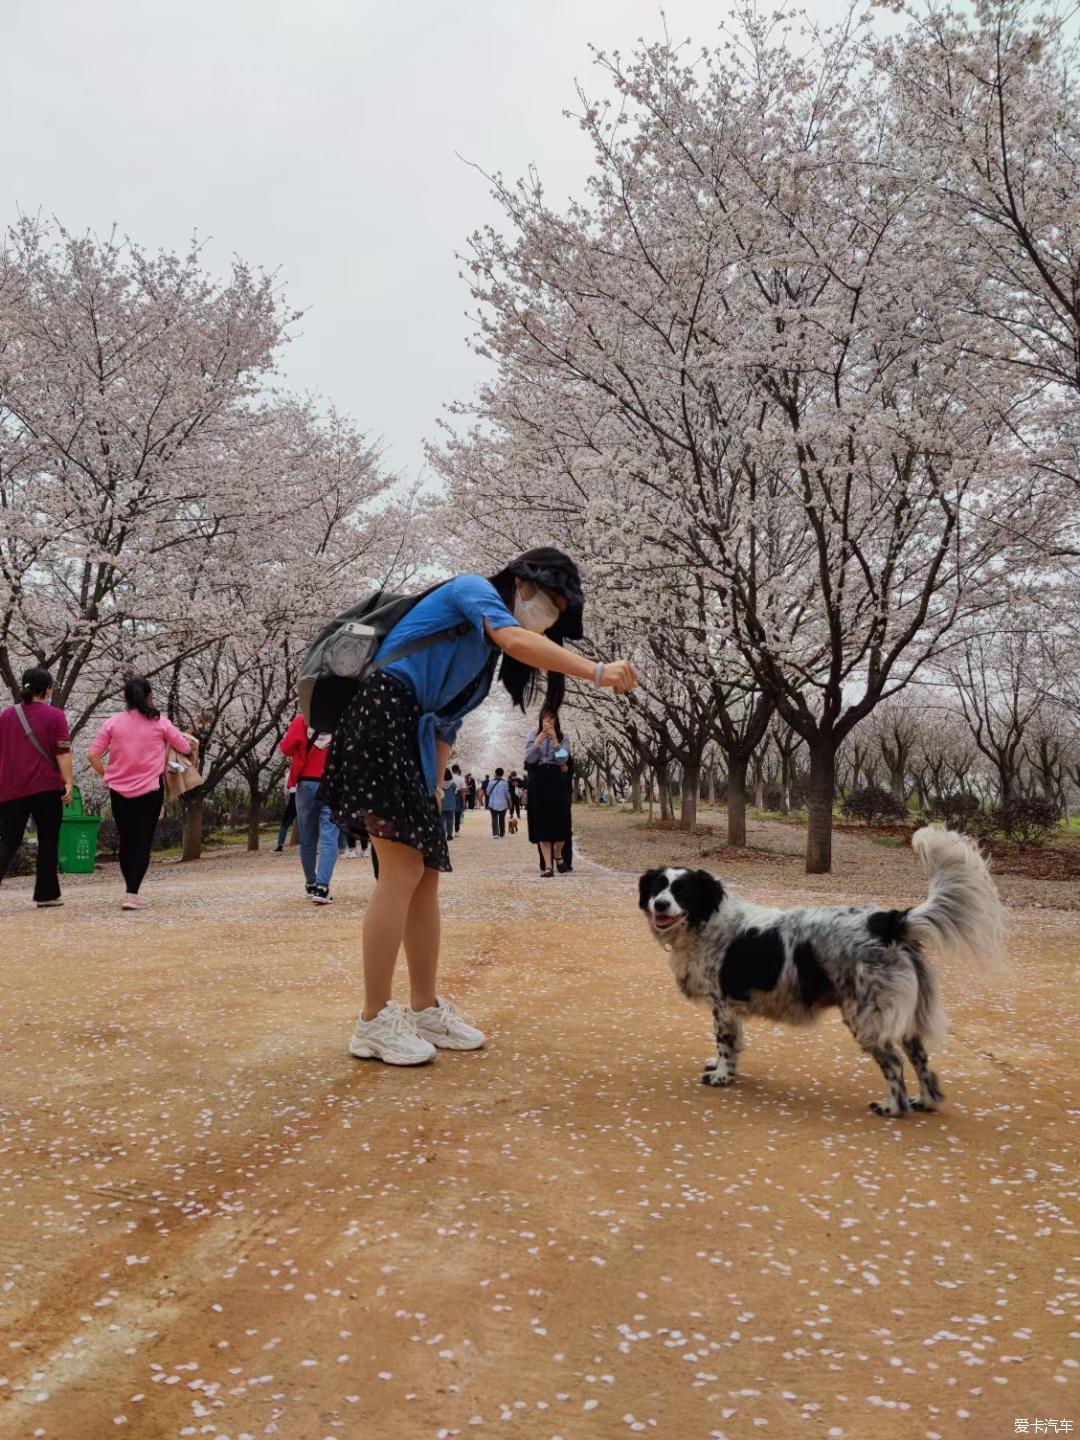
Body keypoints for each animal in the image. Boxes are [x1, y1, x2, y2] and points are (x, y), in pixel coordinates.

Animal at [642, 829, 1008, 1117]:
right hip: (899, 1015)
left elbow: (725, 1044)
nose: (659, 904)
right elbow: (734, 1044)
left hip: (866, 1017)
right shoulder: (732, 1008)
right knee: (920, 1058)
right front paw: (725, 1070)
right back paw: (926, 1101)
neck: (706, 920)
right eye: (658, 888)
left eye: (682, 891)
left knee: (893, 1062)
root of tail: (889, 921)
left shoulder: (722, 1005)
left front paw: (721, 1076)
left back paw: (893, 1107)